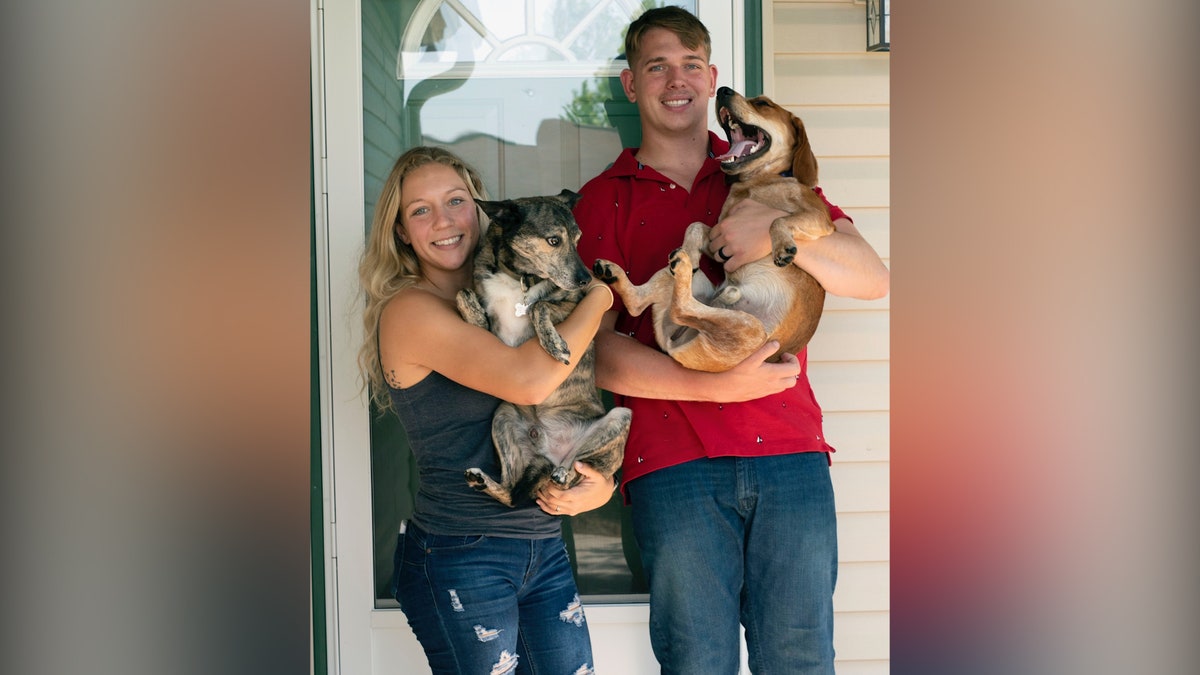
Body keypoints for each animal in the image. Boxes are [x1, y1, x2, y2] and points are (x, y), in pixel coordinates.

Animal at [592, 86, 835, 369]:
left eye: (764, 104)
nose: (723, 90)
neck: (757, 181)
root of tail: (674, 345)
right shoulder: (718, 236)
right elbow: (695, 226)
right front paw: (693, 251)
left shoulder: (820, 218)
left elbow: (776, 219)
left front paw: (782, 246)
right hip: (701, 295)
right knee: (650, 303)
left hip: (747, 327)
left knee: (676, 307)